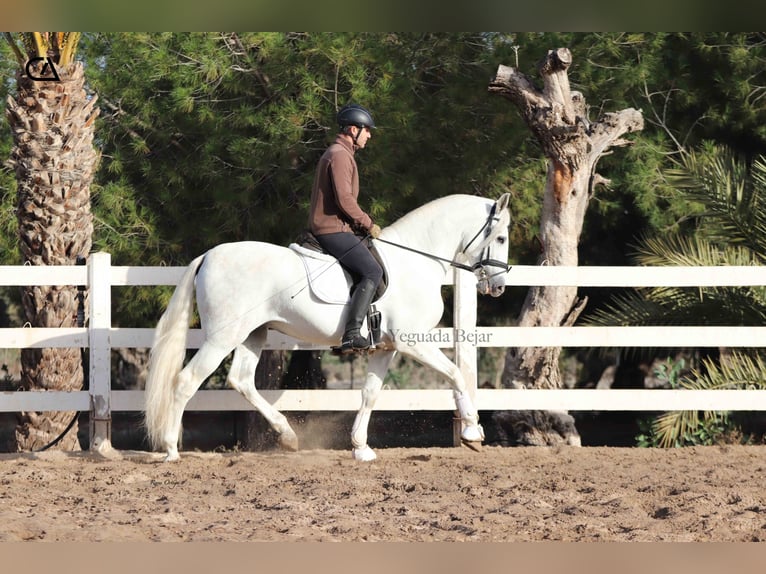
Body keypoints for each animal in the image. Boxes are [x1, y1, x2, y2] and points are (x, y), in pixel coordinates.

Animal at [147, 194, 512, 464]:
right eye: (501, 237)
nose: (498, 287)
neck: (416, 261)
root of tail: (208, 255)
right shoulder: (412, 342)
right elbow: (456, 374)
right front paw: (472, 433)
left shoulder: (387, 348)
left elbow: (370, 393)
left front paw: (360, 448)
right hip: (222, 338)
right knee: (186, 381)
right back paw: (170, 450)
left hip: (252, 334)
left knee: (241, 380)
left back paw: (288, 436)